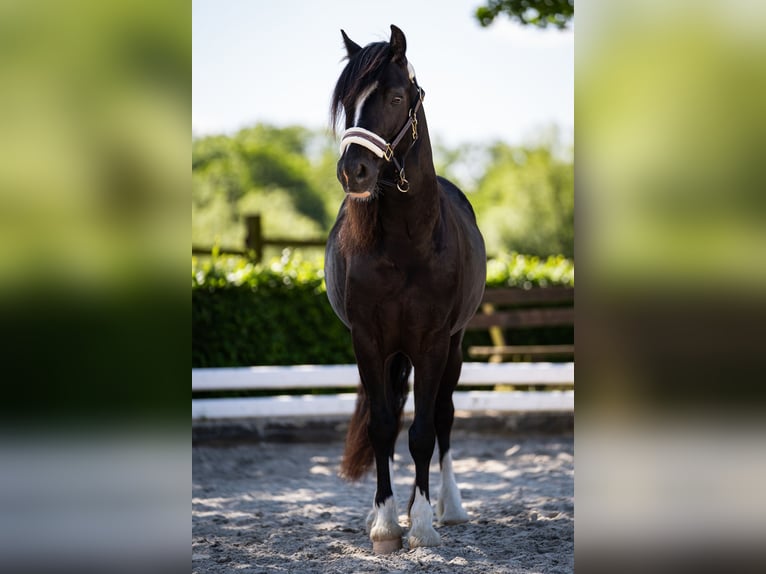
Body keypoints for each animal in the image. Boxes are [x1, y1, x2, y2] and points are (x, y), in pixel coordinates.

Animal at [324, 25, 486, 553]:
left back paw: (448, 506)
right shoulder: (369, 342)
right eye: (347, 102)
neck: (406, 243)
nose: (352, 171)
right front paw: (383, 523)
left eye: (396, 97)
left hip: (453, 347)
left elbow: (424, 432)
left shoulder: (433, 343)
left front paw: (421, 526)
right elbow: (382, 427)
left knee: (443, 418)